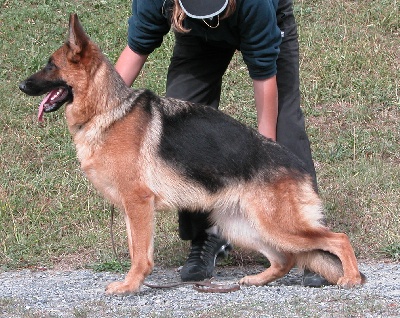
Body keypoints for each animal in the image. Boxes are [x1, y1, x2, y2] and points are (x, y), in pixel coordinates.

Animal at [19, 14, 366, 294]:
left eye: (50, 65)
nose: (21, 85)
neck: (107, 110)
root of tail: (297, 165)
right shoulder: (133, 208)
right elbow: (135, 248)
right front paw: (133, 282)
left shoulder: (138, 203)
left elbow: (139, 254)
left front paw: (131, 286)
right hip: (243, 226)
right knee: (286, 259)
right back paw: (256, 280)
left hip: (279, 226)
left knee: (337, 239)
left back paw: (350, 277)